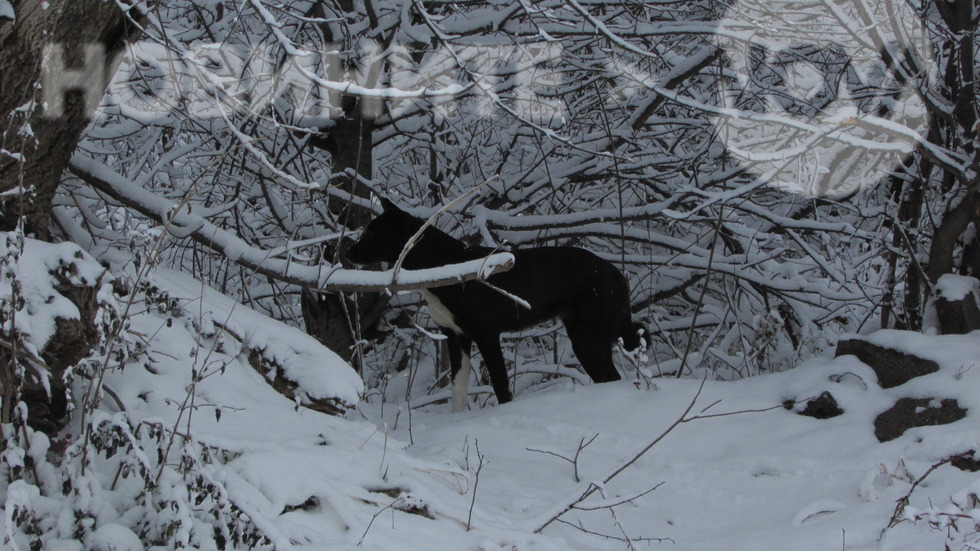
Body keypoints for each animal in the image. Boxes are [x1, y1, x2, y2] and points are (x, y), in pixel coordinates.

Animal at [346, 198, 644, 410]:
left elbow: (501, 385)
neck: (444, 265)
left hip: (590, 335)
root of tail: (616, 273)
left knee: (612, 376)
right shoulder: (455, 337)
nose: (347, 253)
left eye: (372, 234)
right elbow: (458, 389)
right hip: (582, 340)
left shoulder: (487, 335)